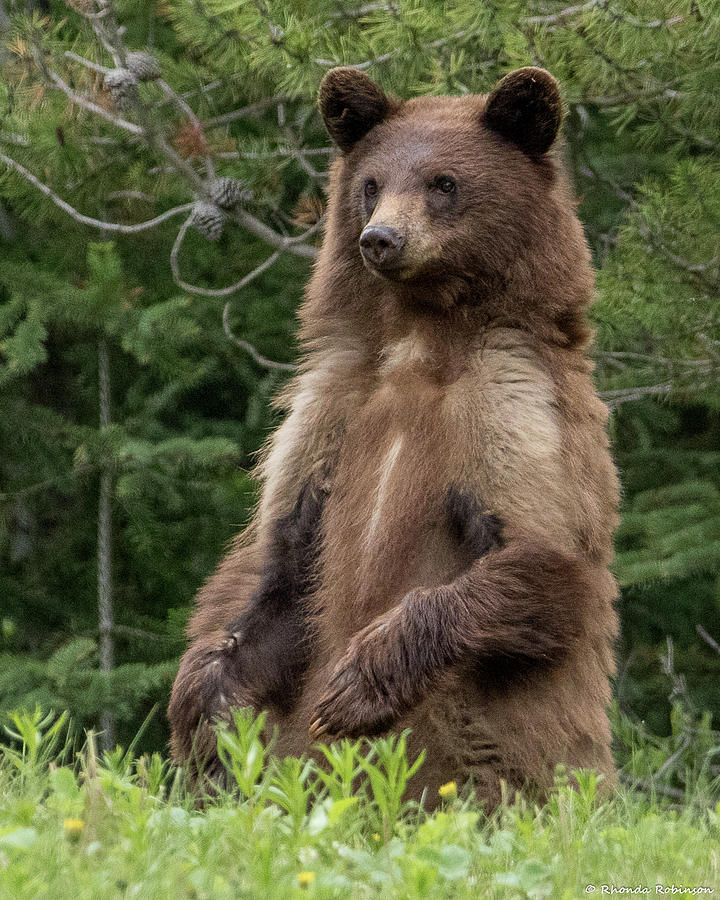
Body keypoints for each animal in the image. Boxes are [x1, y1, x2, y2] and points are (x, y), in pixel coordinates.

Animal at [169, 65, 620, 808]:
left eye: (444, 182)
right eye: (372, 183)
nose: (381, 238)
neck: (419, 341)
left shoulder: (514, 408)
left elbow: (543, 563)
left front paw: (355, 685)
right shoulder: (328, 416)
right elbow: (280, 564)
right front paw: (206, 704)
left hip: (484, 757)